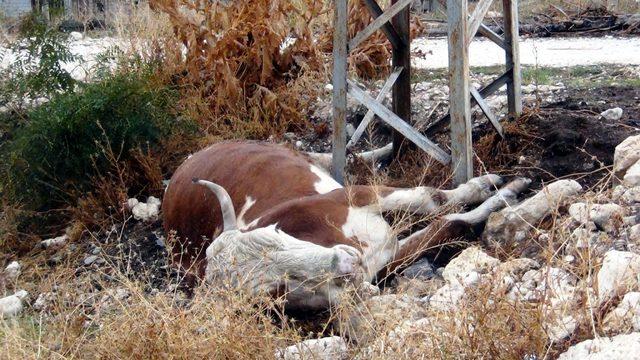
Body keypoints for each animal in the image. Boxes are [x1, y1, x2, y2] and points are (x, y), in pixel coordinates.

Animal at [161, 141, 528, 310]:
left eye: (277, 235)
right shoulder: (388, 260)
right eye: (274, 290)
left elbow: (431, 198)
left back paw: (380, 149)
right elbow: (446, 223)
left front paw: (497, 186)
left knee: (330, 156)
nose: (345, 262)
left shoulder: (354, 195)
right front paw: (503, 197)